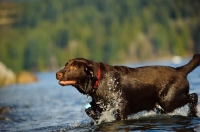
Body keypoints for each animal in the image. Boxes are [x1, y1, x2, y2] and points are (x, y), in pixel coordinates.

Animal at [55, 54, 200, 120]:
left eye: (73, 67)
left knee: (194, 96)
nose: (57, 74)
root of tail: (180, 70)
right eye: (66, 64)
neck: (100, 80)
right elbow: (90, 110)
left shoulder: (120, 107)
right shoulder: (101, 104)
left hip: (168, 100)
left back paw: (193, 113)